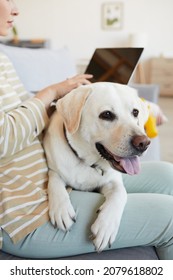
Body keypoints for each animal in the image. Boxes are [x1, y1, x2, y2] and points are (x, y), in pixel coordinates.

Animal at [43, 82, 150, 252]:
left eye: (135, 112)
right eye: (107, 115)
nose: (144, 143)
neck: (87, 162)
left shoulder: (113, 181)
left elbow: (121, 193)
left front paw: (106, 227)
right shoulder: (54, 169)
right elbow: (54, 181)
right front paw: (61, 209)